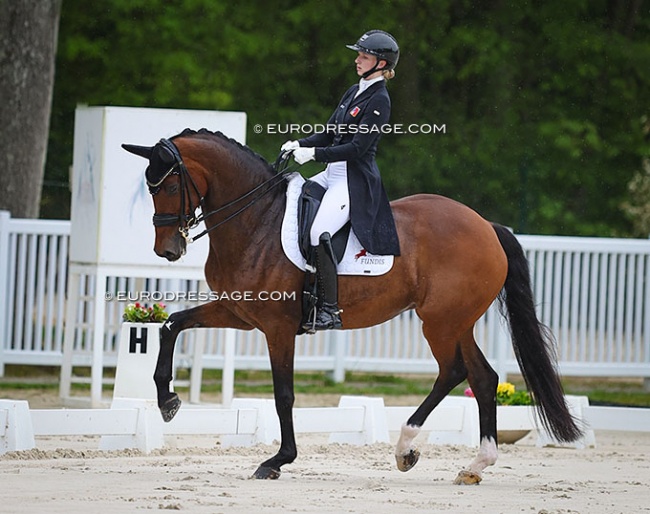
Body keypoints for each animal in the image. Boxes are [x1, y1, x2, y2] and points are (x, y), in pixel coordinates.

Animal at [121, 127, 576, 480]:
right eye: (150, 188)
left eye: (171, 186)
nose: (168, 250)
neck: (256, 219)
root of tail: (486, 226)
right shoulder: (239, 313)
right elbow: (171, 325)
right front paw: (167, 401)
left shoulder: (277, 327)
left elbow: (283, 394)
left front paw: (278, 460)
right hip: (457, 321)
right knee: (482, 377)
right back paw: (475, 464)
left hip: (438, 322)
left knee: (453, 371)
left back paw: (406, 448)